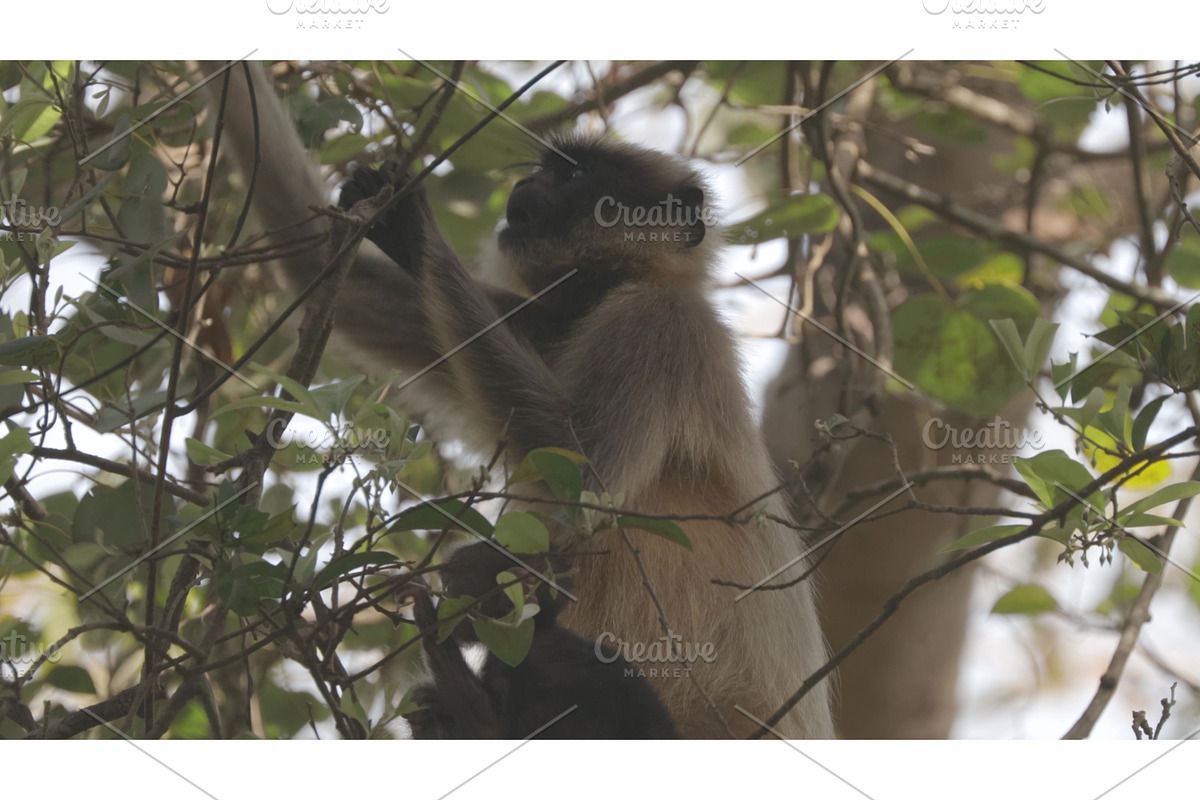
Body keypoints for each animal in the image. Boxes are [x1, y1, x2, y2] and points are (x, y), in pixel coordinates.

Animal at [400, 542, 678, 739]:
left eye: (448, 588)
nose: (441, 605)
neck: (536, 632)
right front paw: (426, 704)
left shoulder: (539, 668)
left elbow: (490, 732)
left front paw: (424, 612)